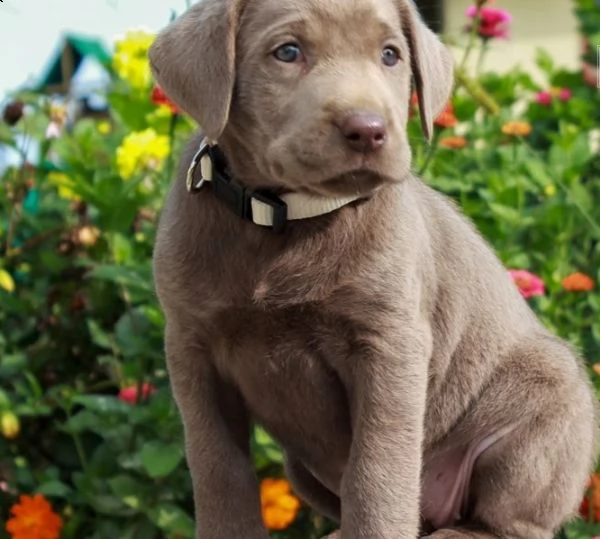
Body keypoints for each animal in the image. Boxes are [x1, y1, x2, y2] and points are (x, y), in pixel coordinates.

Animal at [148, 1, 596, 539]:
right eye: (287, 52)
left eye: (390, 55)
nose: (368, 128)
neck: (285, 220)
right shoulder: (192, 347)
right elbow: (219, 469)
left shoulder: (389, 344)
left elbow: (376, 473)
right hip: (300, 468)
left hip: (546, 405)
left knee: (507, 524)